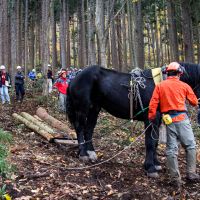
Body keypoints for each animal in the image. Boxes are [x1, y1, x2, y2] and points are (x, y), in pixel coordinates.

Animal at [66, 62, 200, 177]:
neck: (163, 83)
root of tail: (75, 77)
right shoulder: (150, 120)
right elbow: (150, 143)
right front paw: (150, 167)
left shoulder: (156, 121)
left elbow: (155, 142)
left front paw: (156, 164)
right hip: (82, 108)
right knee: (80, 128)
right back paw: (83, 154)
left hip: (94, 108)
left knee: (89, 129)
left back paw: (91, 152)